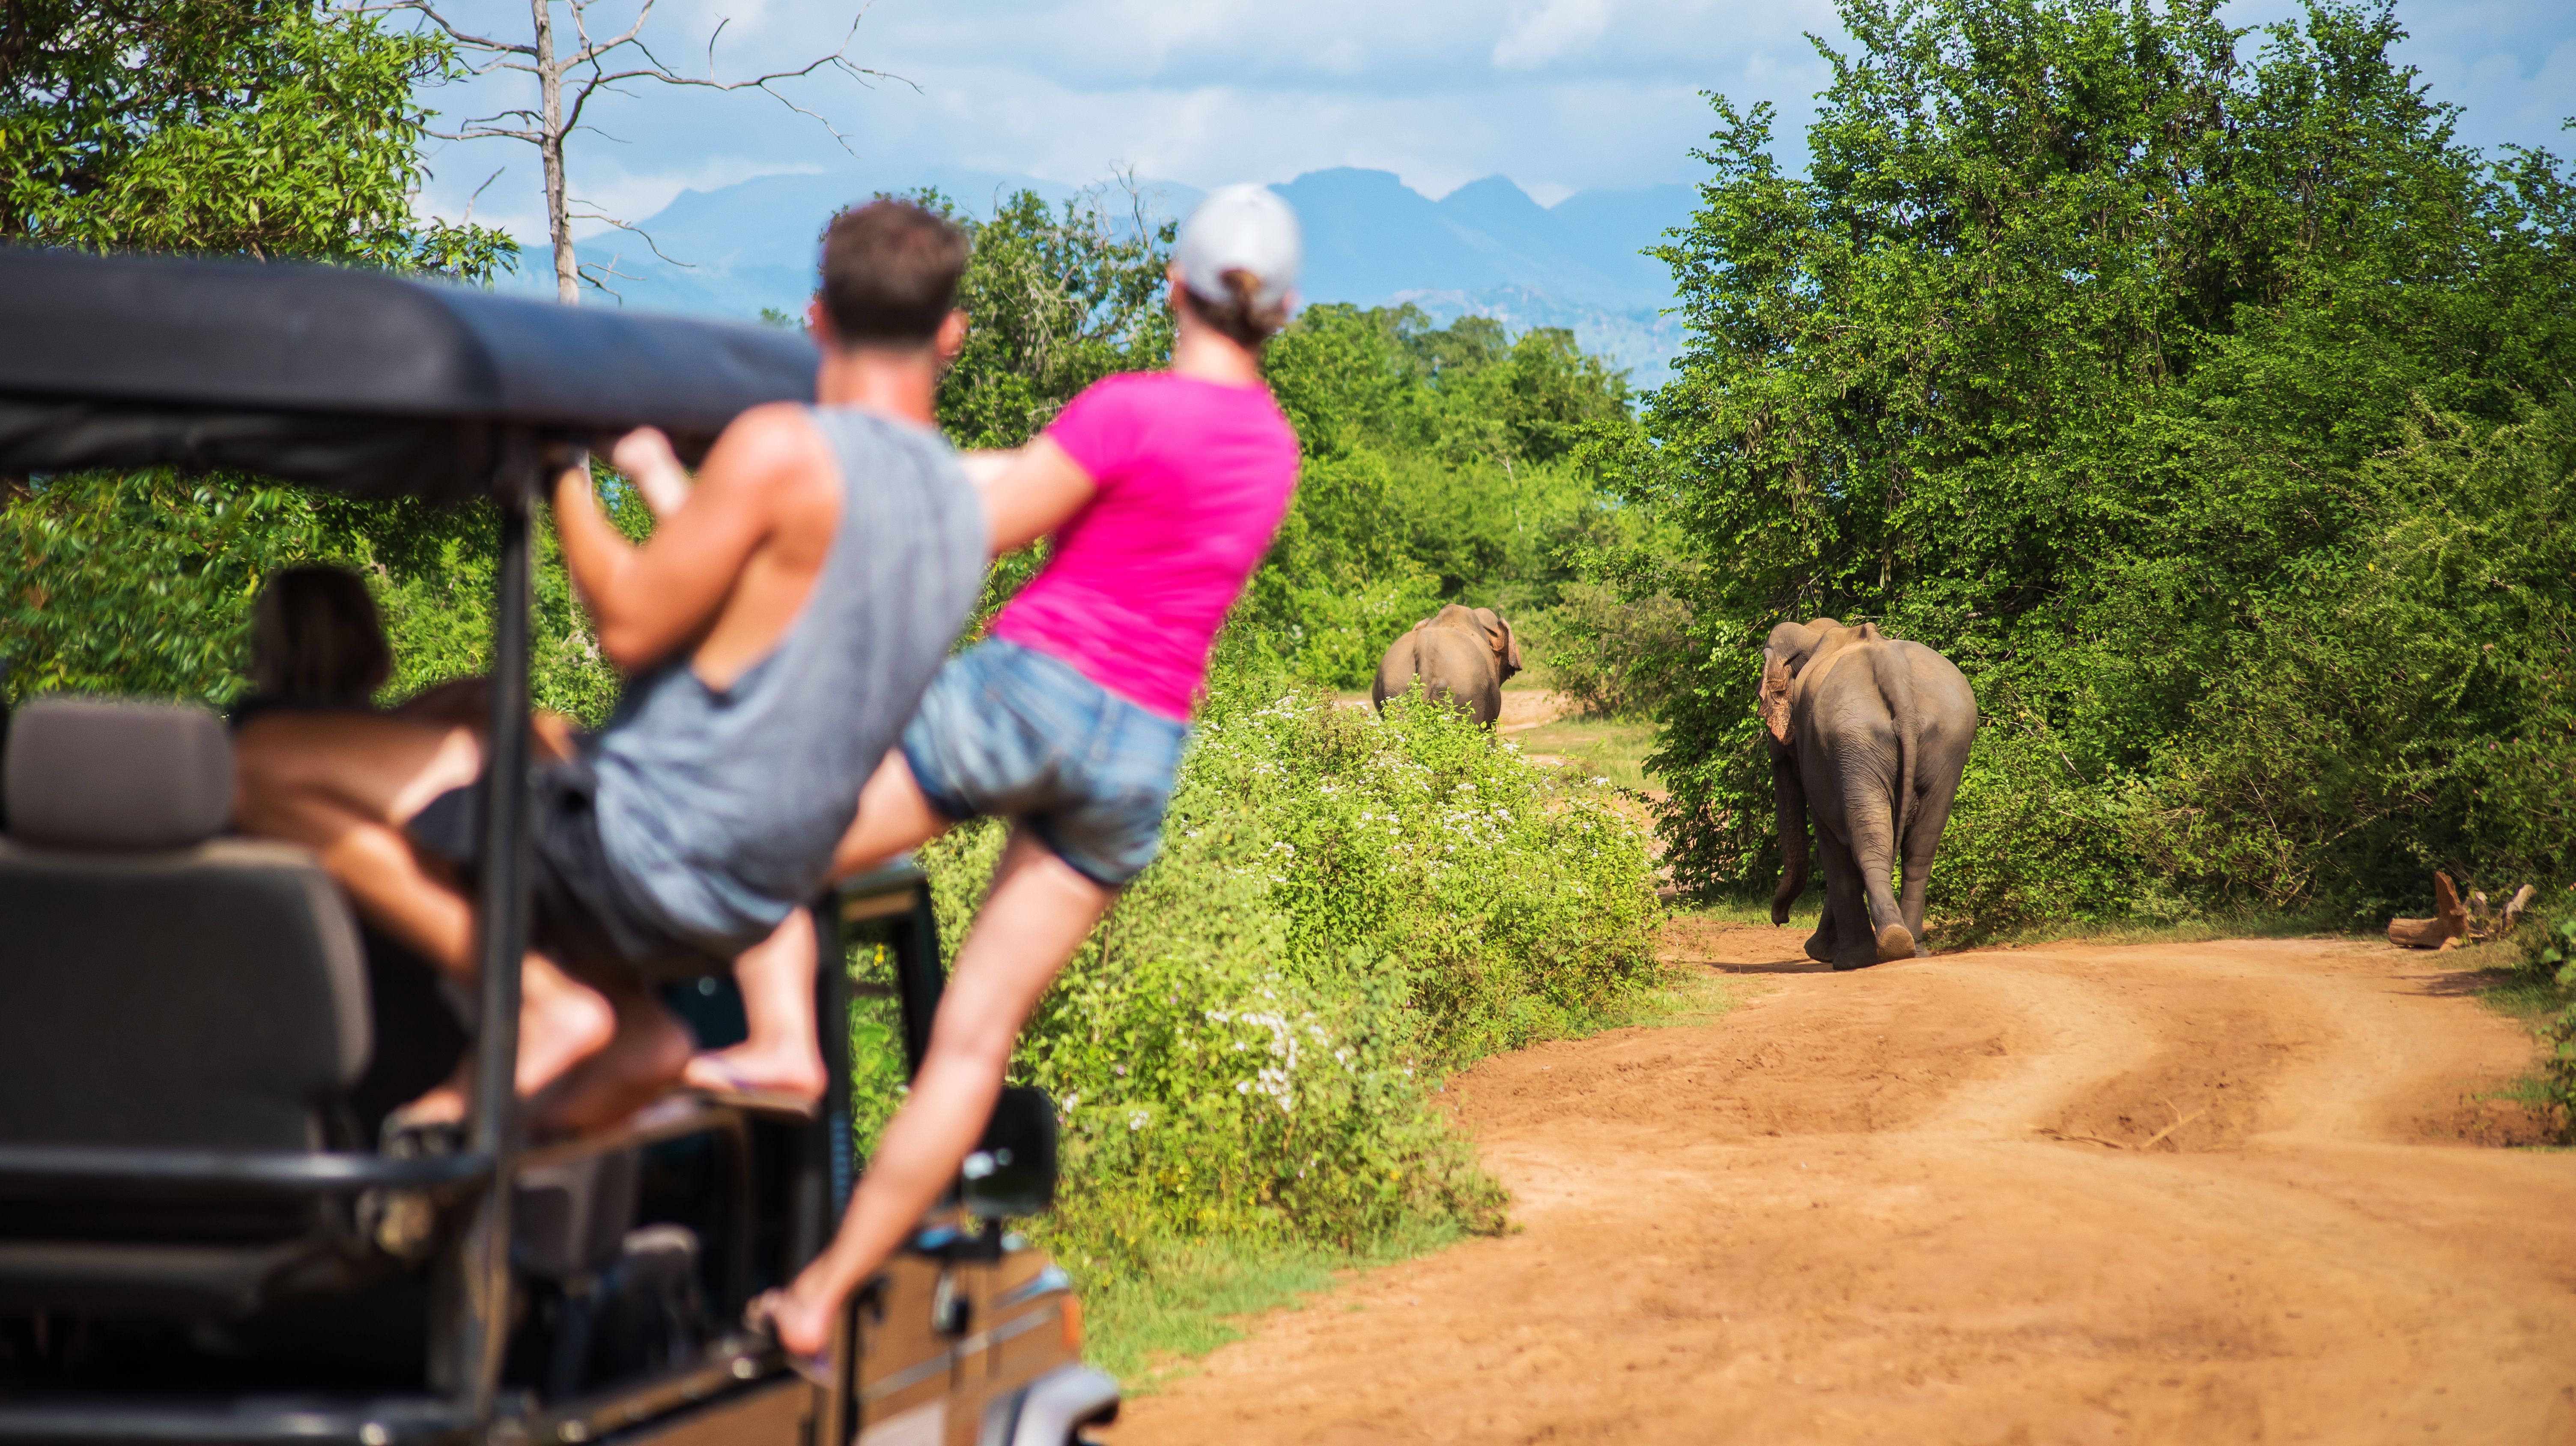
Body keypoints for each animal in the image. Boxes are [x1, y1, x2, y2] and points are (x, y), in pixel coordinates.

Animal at [1761, 618, 1977, 969]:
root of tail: (1896, 679)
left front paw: (1822, 954)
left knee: (1869, 843)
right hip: (1946, 740)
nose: (1780, 919)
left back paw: (1866, 955)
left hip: (1857, 740)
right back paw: (1908, 946)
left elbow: (1830, 837)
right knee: (1921, 848)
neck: (1816, 635)